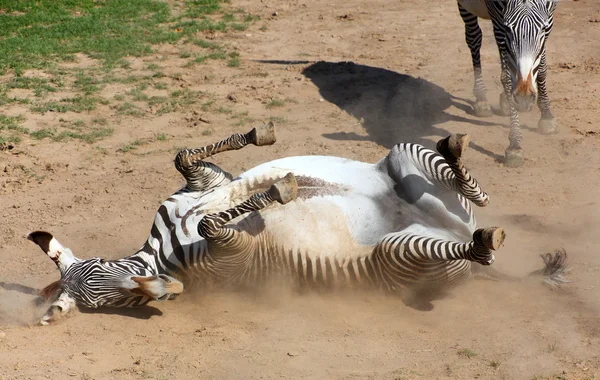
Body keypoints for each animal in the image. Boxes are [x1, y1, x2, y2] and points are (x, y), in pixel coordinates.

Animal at [25, 123, 568, 326]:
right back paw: (483, 241)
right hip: (399, 250)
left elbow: (185, 155)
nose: (169, 291)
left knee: (477, 194)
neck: (163, 249)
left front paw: (262, 139)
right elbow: (213, 223)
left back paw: (455, 150)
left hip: (403, 159)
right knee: (476, 248)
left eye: (104, 275)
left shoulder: (201, 182)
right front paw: (278, 191)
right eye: (117, 305)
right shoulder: (232, 254)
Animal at [458, 0, 560, 166]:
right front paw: (515, 145)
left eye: (543, 29)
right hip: (468, 9)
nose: (524, 98)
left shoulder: (549, 18)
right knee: (474, 37)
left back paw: (505, 101)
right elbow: (507, 78)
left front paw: (546, 116)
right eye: (508, 28)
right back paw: (481, 99)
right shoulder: (499, 23)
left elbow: (542, 69)